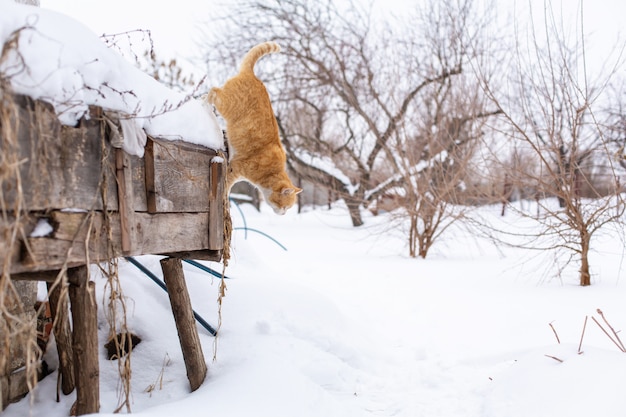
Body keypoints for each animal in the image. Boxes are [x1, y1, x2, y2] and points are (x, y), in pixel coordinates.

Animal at [206, 41, 302, 214]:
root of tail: (252, 75)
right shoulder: (234, 170)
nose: (284, 214)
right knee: (213, 90)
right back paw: (204, 102)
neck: (271, 172)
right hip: (225, 104)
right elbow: (227, 188)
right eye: (285, 206)